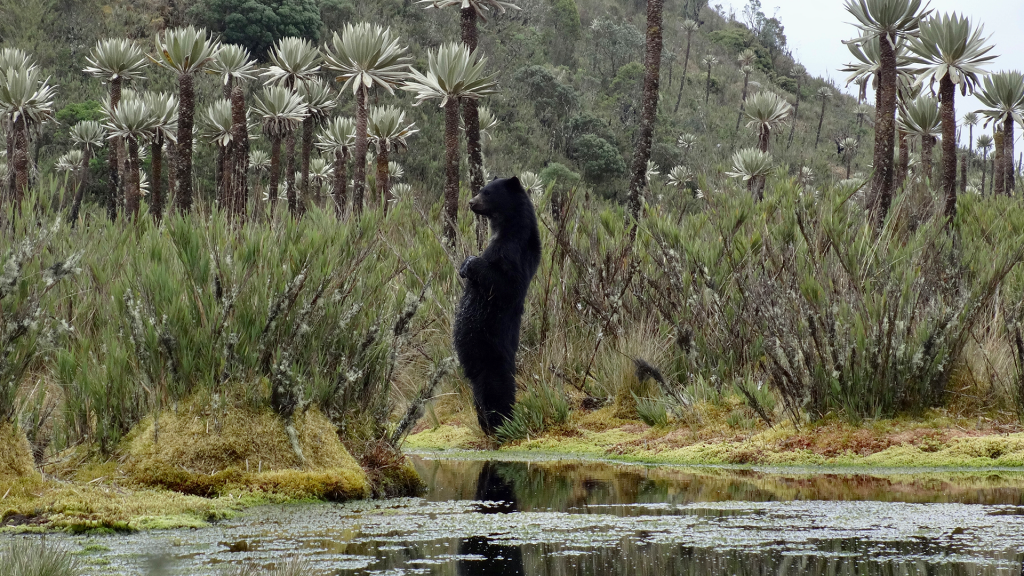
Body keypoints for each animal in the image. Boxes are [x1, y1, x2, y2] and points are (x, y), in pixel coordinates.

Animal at [450, 177, 540, 432]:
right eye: (480, 189)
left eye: (487, 192)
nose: (471, 202)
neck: (505, 227)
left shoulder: (514, 251)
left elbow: (505, 284)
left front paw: (469, 264)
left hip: (488, 352)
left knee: (495, 388)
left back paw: (501, 423)